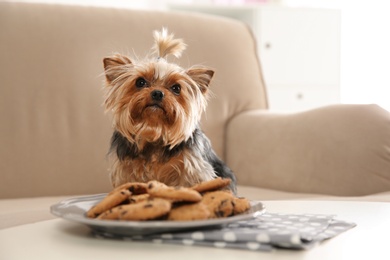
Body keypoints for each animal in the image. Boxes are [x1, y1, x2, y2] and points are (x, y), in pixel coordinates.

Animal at [101, 28, 235, 193]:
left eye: (176, 88)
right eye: (140, 82)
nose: (157, 93)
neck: (154, 132)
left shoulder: (193, 169)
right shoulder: (125, 172)